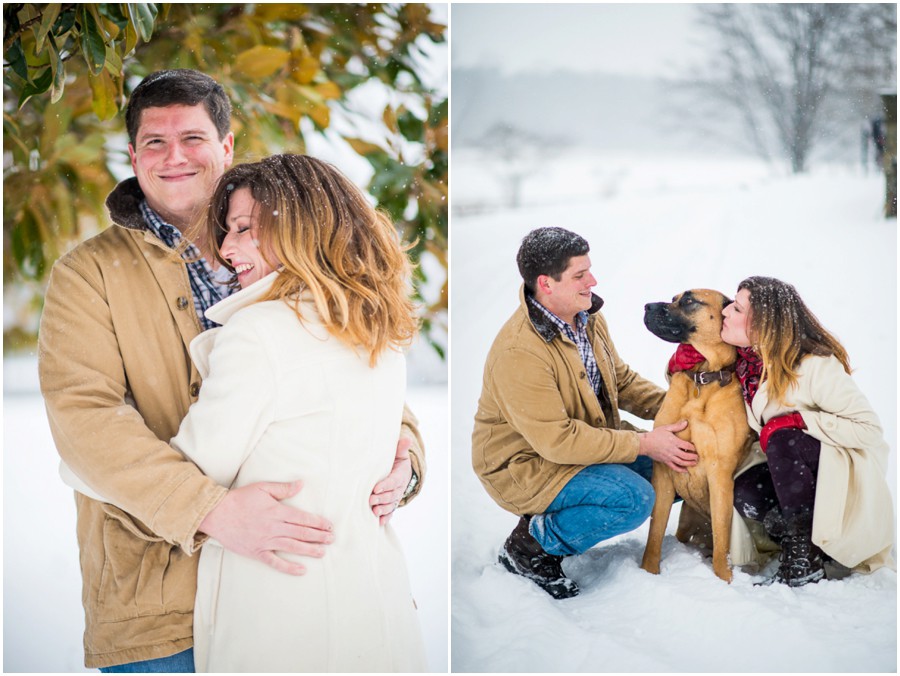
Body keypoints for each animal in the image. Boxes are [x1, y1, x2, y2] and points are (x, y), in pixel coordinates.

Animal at [640, 288, 752, 584]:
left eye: (689, 300)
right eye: (673, 297)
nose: (646, 306)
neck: (702, 375)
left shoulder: (720, 474)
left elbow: (722, 541)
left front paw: (724, 580)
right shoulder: (663, 471)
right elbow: (655, 533)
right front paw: (648, 571)